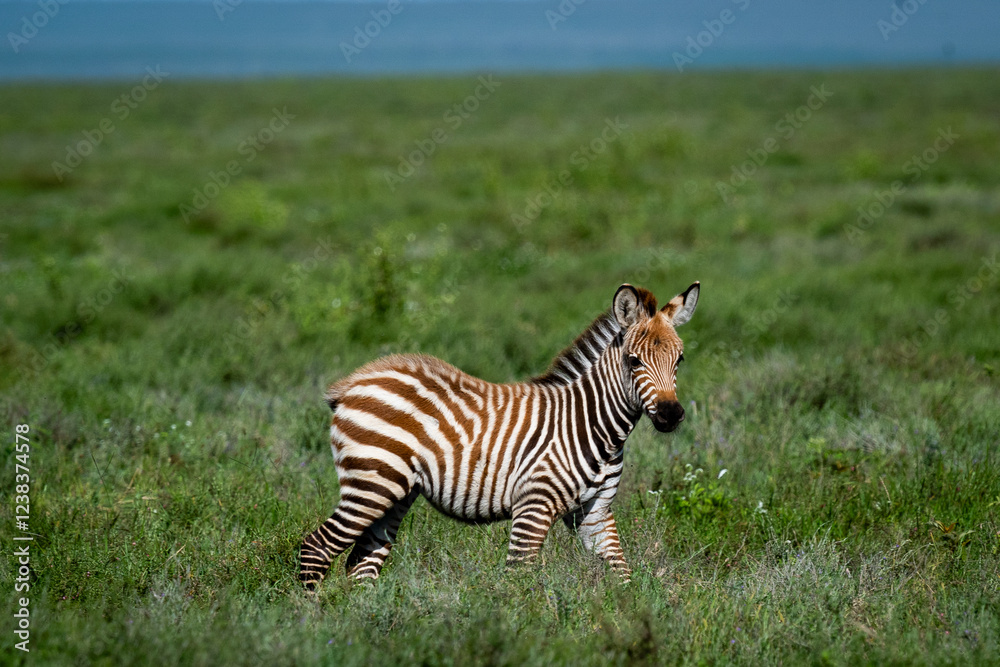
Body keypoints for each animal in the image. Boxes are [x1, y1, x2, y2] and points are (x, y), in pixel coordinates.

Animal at [299, 281, 699, 589]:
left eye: (679, 360)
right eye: (634, 361)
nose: (670, 415)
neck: (595, 424)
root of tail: (355, 381)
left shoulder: (595, 511)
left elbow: (622, 573)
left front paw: (629, 618)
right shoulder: (534, 505)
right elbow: (519, 579)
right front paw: (521, 627)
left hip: (394, 491)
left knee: (361, 564)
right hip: (372, 483)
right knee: (316, 547)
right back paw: (315, 620)